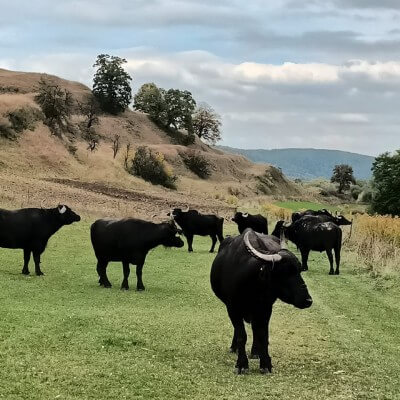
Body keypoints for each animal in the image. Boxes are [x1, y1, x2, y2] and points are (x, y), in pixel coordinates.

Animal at [209, 230, 312, 374]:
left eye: (299, 269)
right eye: (285, 272)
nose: (308, 300)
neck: (251, 283)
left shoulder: (265, 308)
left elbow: (263, 334)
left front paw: (265, 363)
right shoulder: (232, 308)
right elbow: (241, 335)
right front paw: (242, 364)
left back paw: (255, 352)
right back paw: (234, 348)